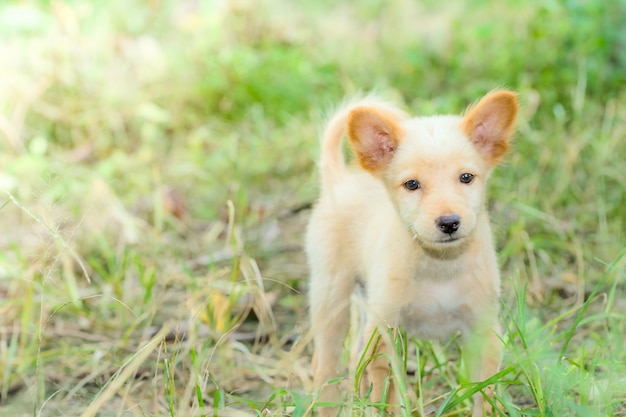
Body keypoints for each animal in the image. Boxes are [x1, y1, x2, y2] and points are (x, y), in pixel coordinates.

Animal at [304, 89, 516, 414]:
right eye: (412, 184)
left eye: (466, 178)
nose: (449, 223)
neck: (439, 267)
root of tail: (338, 181)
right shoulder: (385, 335)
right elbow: (388, 396)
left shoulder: (484, 332)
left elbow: (486, 394)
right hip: (331, 298)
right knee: (325, 367)